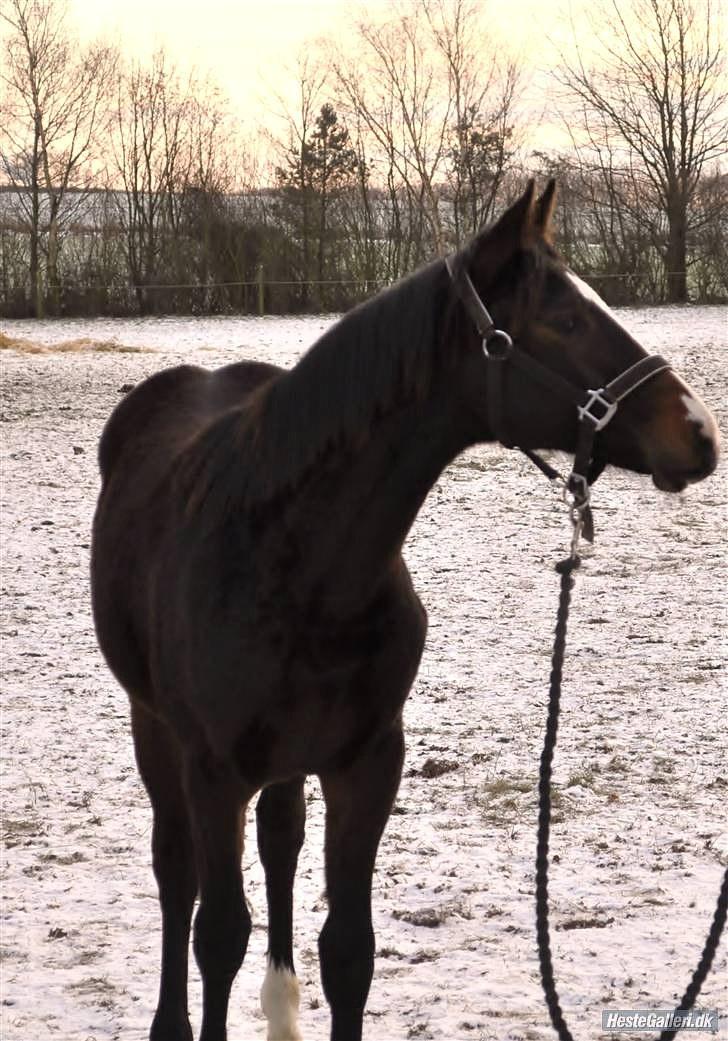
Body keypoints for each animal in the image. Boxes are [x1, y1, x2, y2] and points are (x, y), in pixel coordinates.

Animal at [89, 181, 716, 1041]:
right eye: (564, 320)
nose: (699, 434)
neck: (299, 563)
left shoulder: (368, 760)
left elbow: (348, 948)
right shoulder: (213, 770)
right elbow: (216, 933)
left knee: (281, 841)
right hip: (155, 729)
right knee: (175, 870)